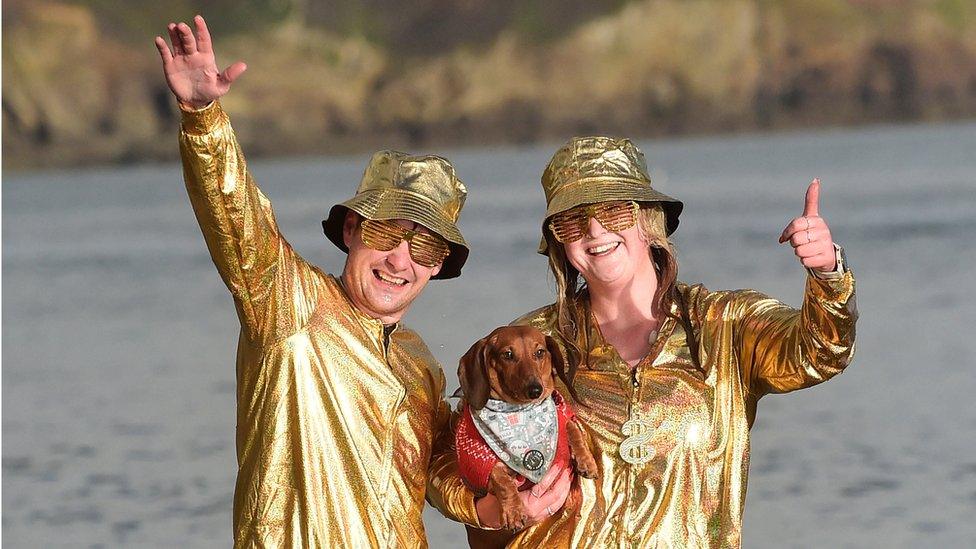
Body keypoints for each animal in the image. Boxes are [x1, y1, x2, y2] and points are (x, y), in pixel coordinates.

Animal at [456, 326, 596, 540]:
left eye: (539, 352)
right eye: (508, 355)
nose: (535, 390)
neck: (520, 414)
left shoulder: (562, 415)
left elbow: (572, 428)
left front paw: (586, 461)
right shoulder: (479, 466)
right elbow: (502, 480)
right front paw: (514, 512)